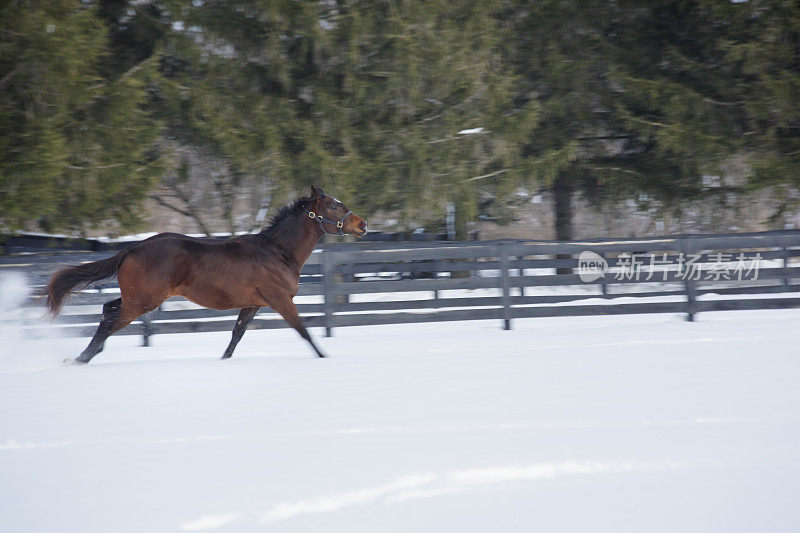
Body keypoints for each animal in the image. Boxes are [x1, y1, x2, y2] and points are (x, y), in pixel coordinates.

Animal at [47, 185, 366, 364]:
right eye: (333, 205)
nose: (362, 225)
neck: (278, 252)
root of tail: (133, 247)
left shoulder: (253, 304)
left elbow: (237, 335)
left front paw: (223, 360)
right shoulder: (280, 300)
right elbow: (303, 330)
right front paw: (324, 357)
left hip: (136, 297)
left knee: (107, 310)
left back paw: (86, 355)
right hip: (142, 302)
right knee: (110, 323)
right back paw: (81, 358)